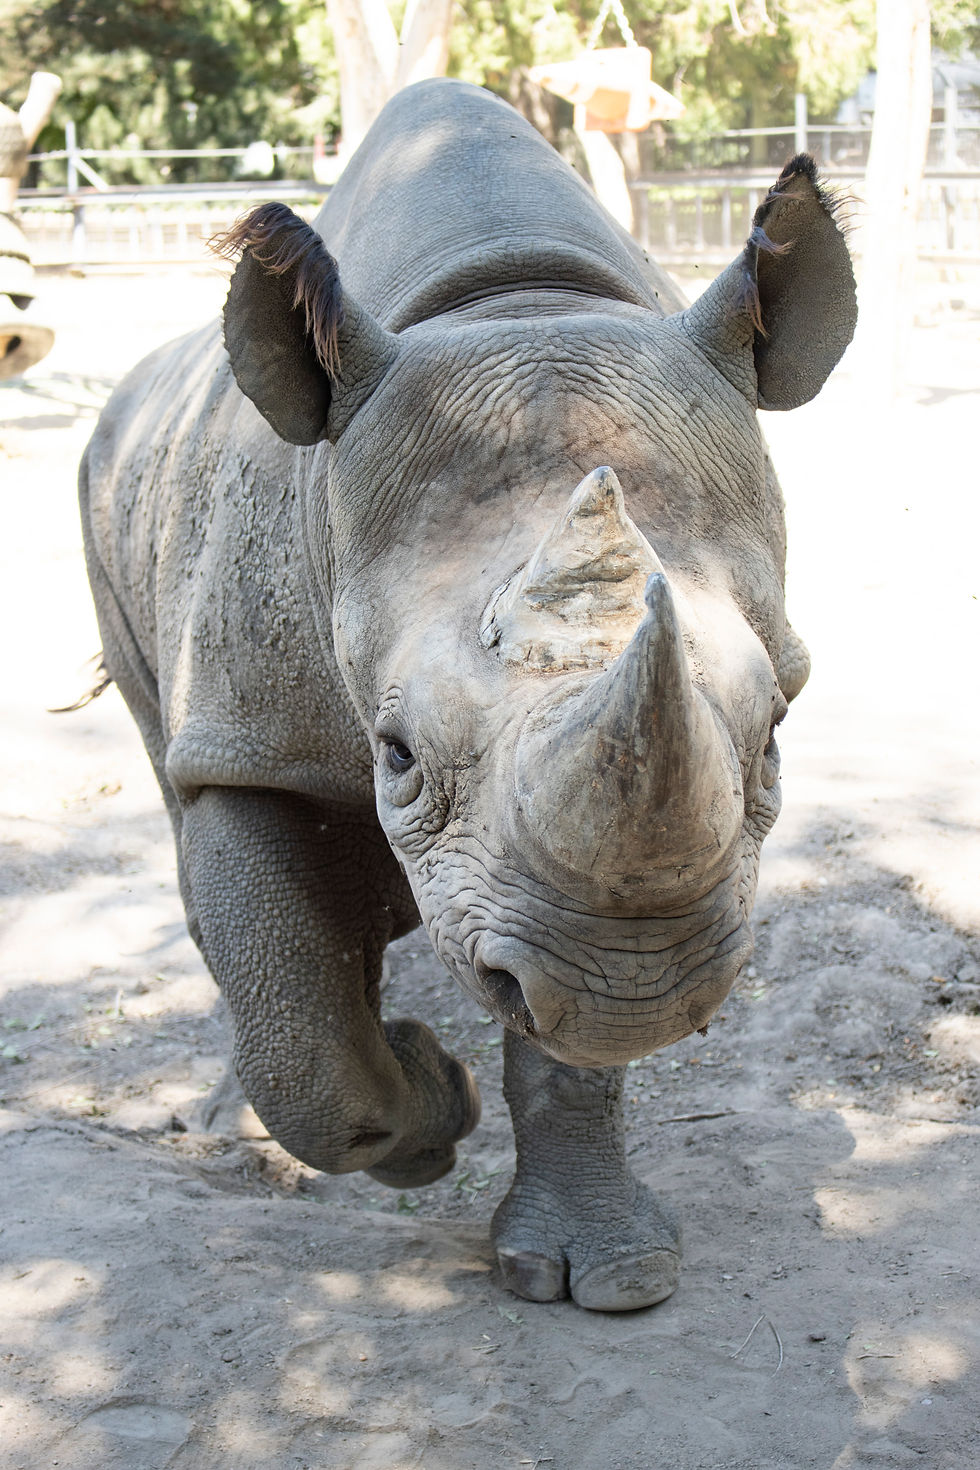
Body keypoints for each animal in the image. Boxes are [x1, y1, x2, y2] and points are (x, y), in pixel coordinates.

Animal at [80, 79, 855, 1311]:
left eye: (776, 736)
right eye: (396, 753)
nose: (641, 992)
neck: (509, 298)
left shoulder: (559, 885)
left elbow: (563, 1032)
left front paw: (605, 1273)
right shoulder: (249, 738)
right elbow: (303, 1043)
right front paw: (432, 1105)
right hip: (106, 499)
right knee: (183, 806)